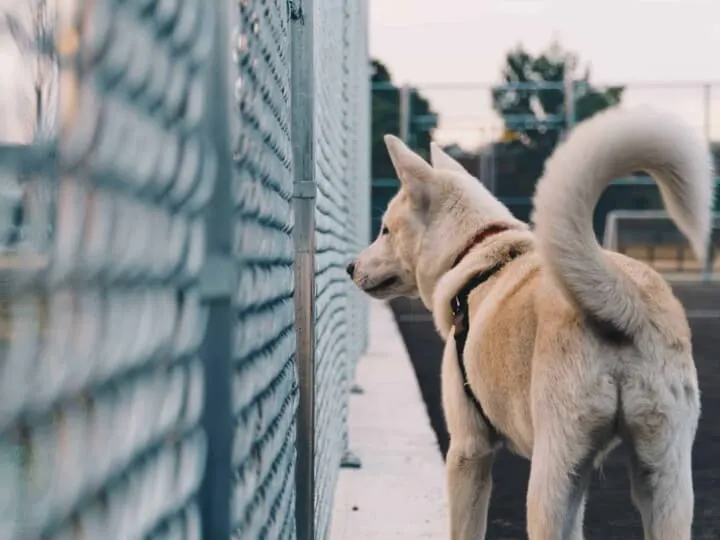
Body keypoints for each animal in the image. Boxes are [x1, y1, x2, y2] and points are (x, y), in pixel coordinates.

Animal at [348, 106, 716, 540]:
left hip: (551, 476)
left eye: (385, 229)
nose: (350, 266)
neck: (475, 251)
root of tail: (622, 297)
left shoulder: (468, 450)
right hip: (661, 477)